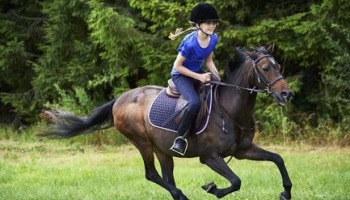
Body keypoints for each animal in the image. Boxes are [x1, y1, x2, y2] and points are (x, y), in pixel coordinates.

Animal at [39, 45, 292, 200]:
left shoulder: (243, 150)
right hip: (142, 142)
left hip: (162, 148)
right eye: (266, 68)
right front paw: (212, 188)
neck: (232, 111)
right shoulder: (210, 157)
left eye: (278, 66)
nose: (287, 94)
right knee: (152, 175)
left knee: (166, 177)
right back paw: (181, 195)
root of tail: (119, 99)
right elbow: (236, 181)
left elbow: (278, 159)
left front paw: (285, 193)